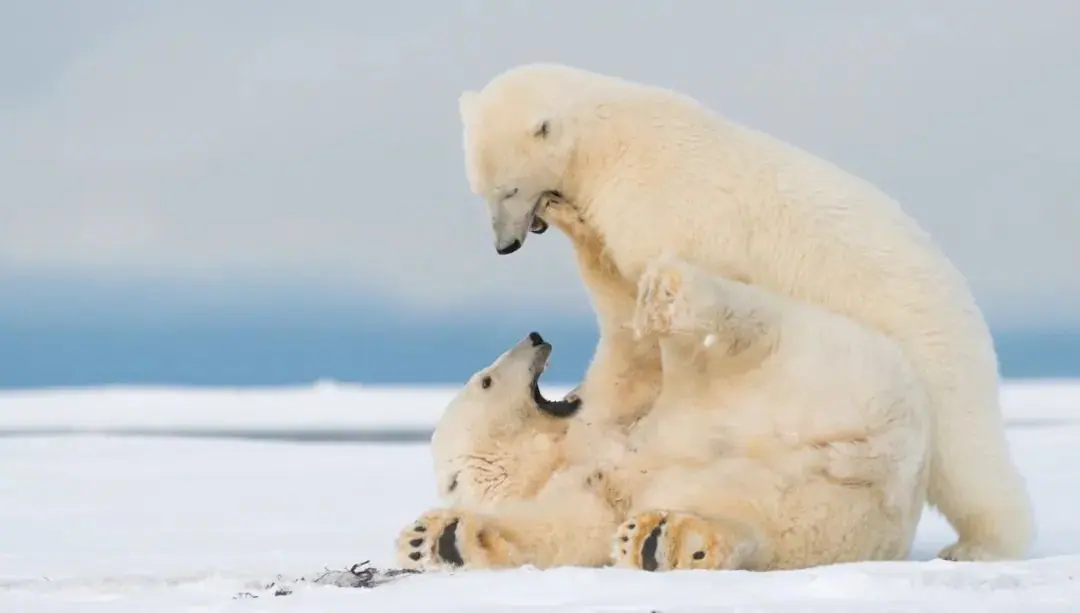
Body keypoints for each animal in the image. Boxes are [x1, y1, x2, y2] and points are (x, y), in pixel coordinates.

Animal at [396, 250, 932, 572]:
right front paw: (435, 539)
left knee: (748, 329)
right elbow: (563, 534)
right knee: (756, 529)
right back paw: (663, 540)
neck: (562, 453)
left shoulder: (608, 411)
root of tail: (889, 453)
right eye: (487, 379)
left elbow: (625, 368)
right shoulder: (582, 491)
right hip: (822, 512)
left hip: (815, 365)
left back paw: (671, 292)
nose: (534, 336)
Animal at [454, 62, 1032, 561]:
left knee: (967, 457)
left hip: (929, 347)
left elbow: (646, 300)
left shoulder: (658, 206)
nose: (505, 245)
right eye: (481, 191)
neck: (613, 142)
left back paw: (979, 545)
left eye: (508, 189)